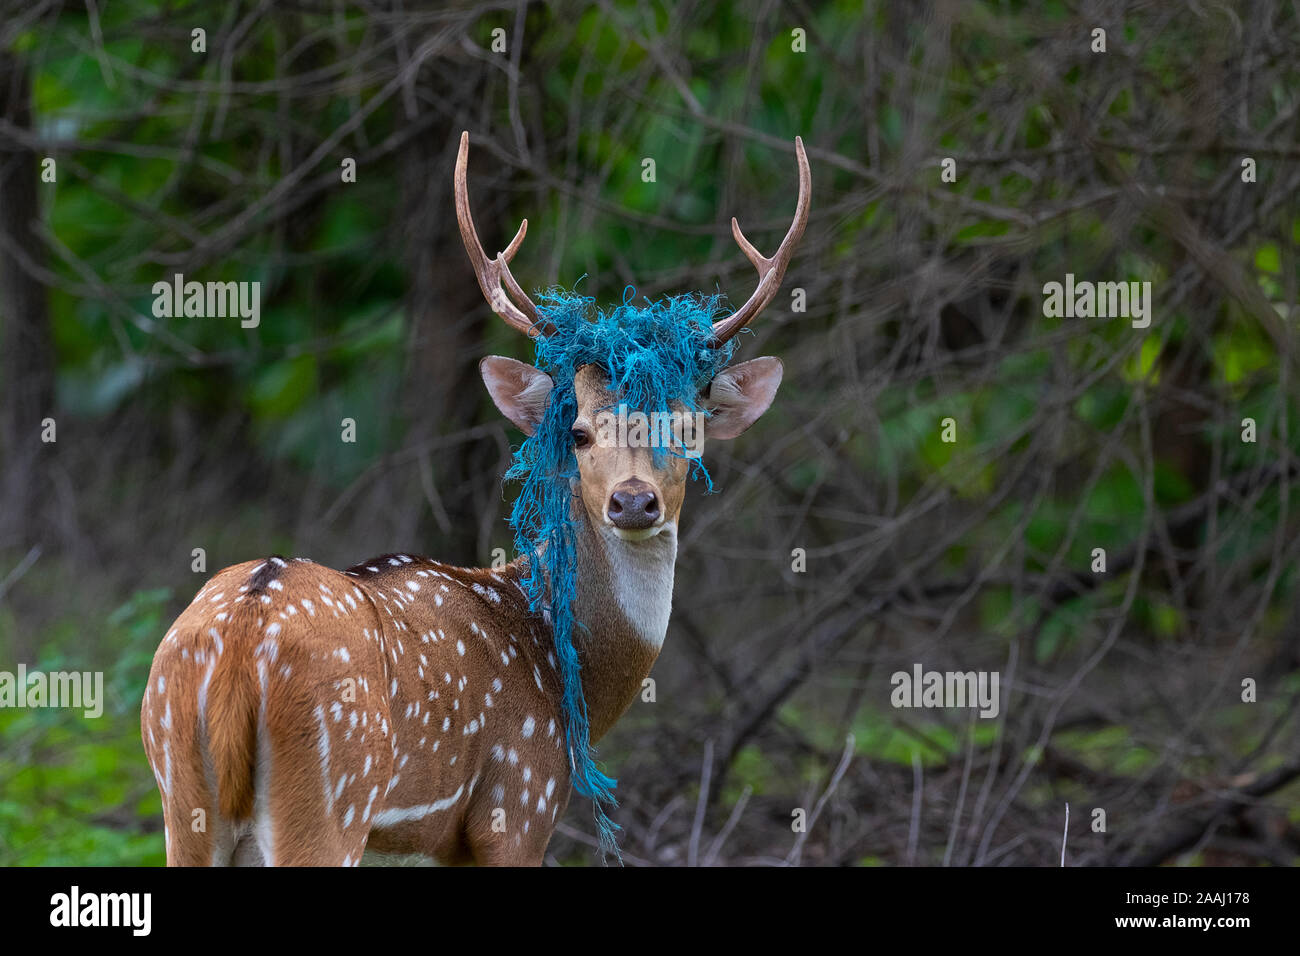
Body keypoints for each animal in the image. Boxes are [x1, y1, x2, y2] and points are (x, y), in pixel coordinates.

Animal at [141, 131, 810, 866]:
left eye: (689, 430)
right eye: (577, 431)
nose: (634, 503)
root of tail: (239, 638)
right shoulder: (517, 805)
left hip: (180, 790)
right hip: (329, 794)